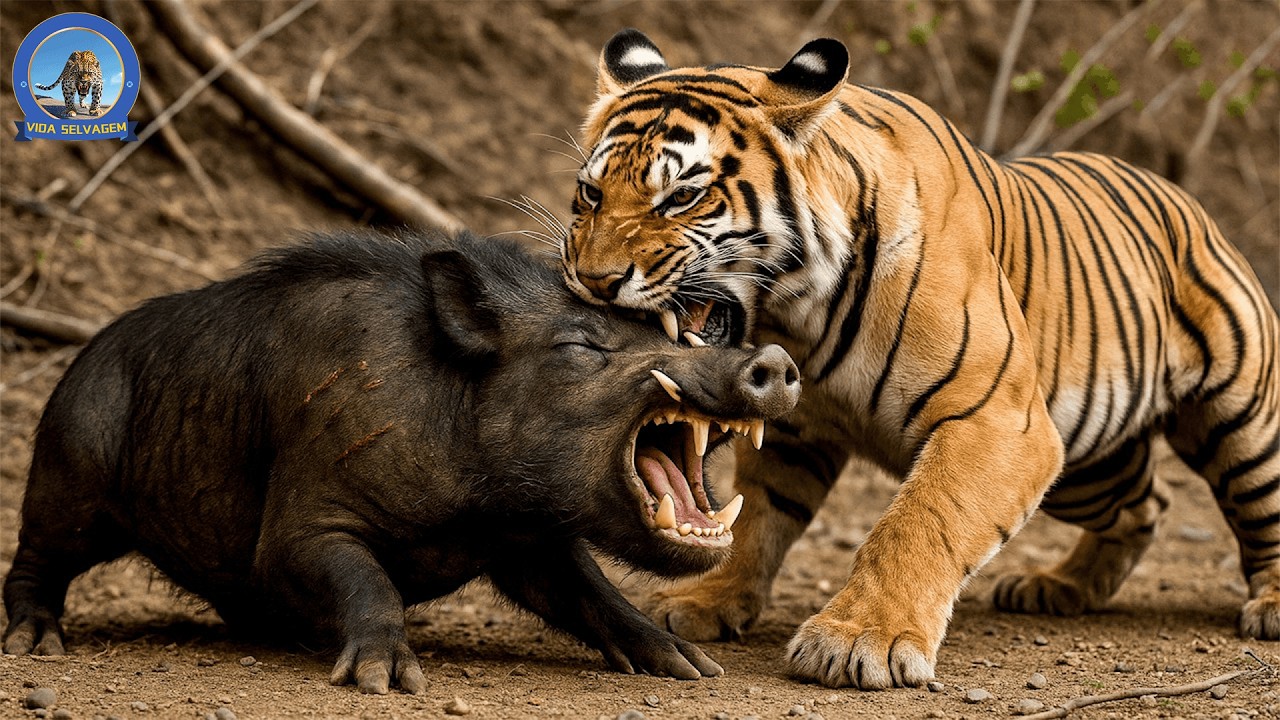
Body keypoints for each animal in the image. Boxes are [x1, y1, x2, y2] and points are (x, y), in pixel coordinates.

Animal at [559, 28, 1280, 689]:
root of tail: (1186, 199)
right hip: (1088, 465)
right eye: (591, 194)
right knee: (1146, 503)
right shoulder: (799, 432)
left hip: (1238, 423)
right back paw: (1061, 586)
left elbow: (919, 522)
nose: (593, 280)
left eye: (681, 197)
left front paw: (859, 641)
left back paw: (1268, 607)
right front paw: (705, 600)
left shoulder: (1000, 421)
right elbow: (755, 517)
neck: (797, 314)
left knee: (1254, 502)